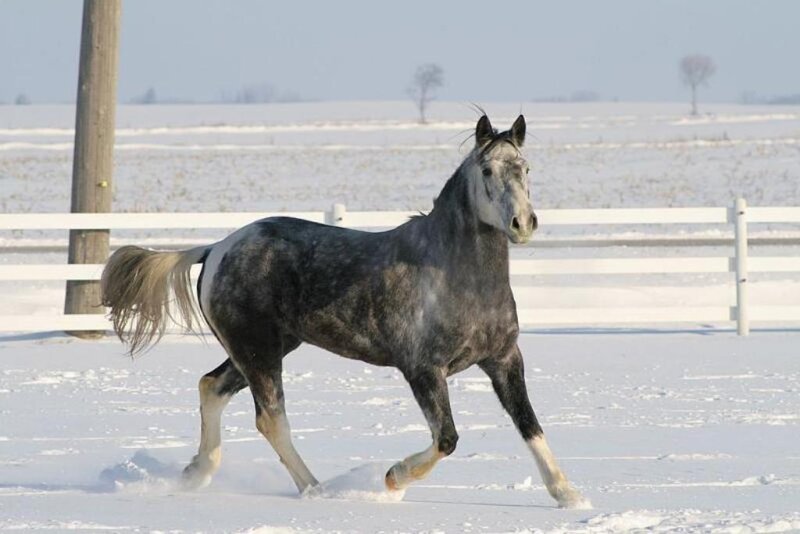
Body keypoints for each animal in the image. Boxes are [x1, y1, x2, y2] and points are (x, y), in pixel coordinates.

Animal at [101, 114, 590, 508]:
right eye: (487, 169)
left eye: (526, 168)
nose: (522, 224)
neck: (457, 276)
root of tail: (217, 248)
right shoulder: (423, 370)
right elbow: (446, 439)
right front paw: (392, 479)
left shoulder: (504, 360)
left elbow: (530, 425)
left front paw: (569, 495)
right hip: (259, 352)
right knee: (270, 418)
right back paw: (319, 490)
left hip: (265, 348)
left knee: (211, 388)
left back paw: (197, 473)